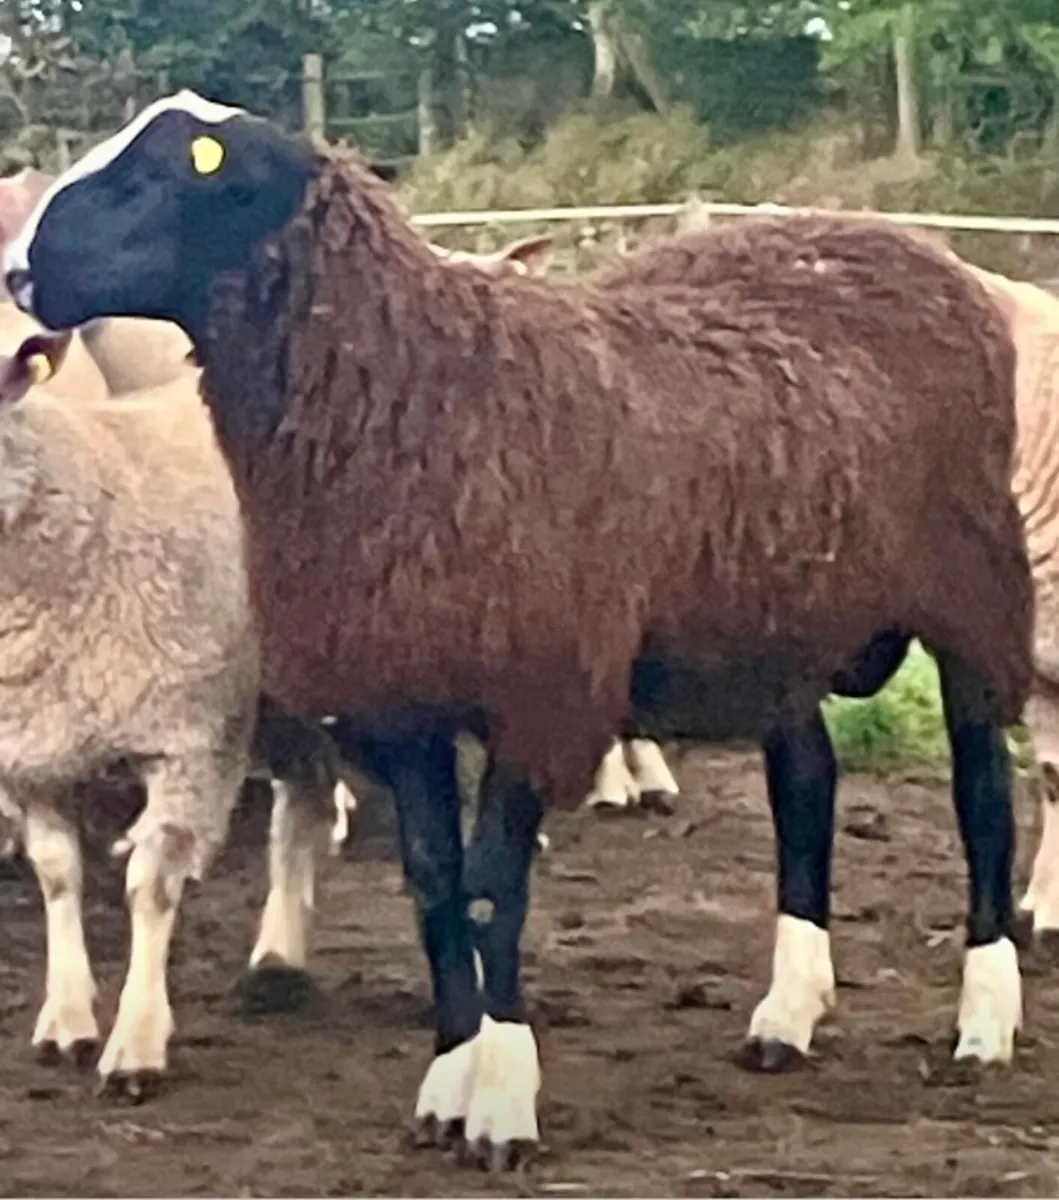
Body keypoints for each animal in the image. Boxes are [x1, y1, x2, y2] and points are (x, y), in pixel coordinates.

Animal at [6, 91, 1034, 1168]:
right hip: (777, 627)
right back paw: (787, 1015)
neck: (430, 389)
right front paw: (448, 1080)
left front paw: (500, 1101)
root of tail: (899, 244)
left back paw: (983, 1021)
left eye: (157, 175)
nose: (19, 273)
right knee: (806, 786)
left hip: (973, 595)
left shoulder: (539, 693)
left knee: (981, 794)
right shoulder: (402, 701)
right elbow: (434, 887)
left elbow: (492, 895)